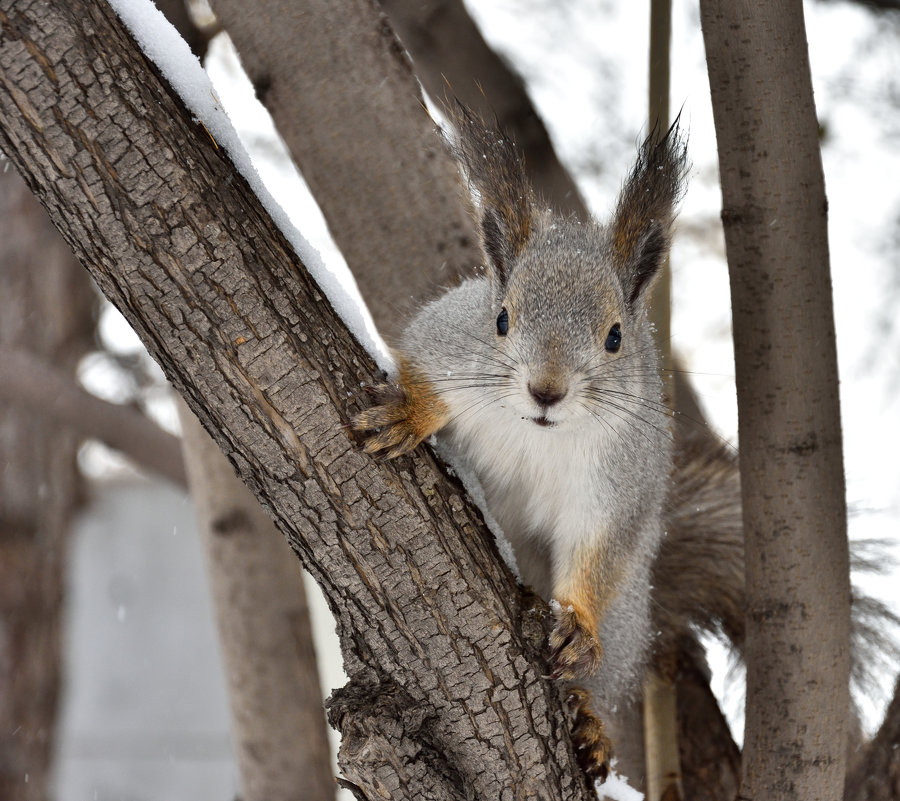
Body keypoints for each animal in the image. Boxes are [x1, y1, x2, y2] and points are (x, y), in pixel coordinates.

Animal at [354, 103, 688, 780]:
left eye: (616, 336)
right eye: (501, 319)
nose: (546, 391)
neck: (540, 435)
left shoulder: (625, 476)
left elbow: (599, 543)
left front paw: (577, 625)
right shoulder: (446, 340)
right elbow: (422, 365)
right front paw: (409, 413)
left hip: (627, 624)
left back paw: (588, 721)